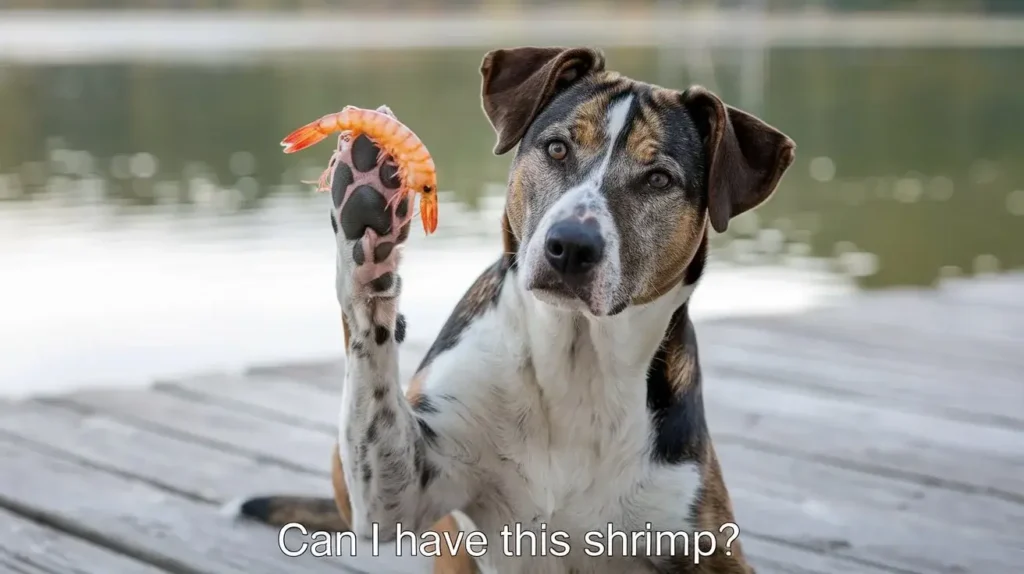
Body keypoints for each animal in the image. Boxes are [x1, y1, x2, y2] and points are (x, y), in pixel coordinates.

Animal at [235, 45, 794, 572]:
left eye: (659, 179)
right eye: (557, 148)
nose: (571, 246)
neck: (577, 359)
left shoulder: (706, 543)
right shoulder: (402, 494)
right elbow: (371, 362)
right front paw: (366, 222)